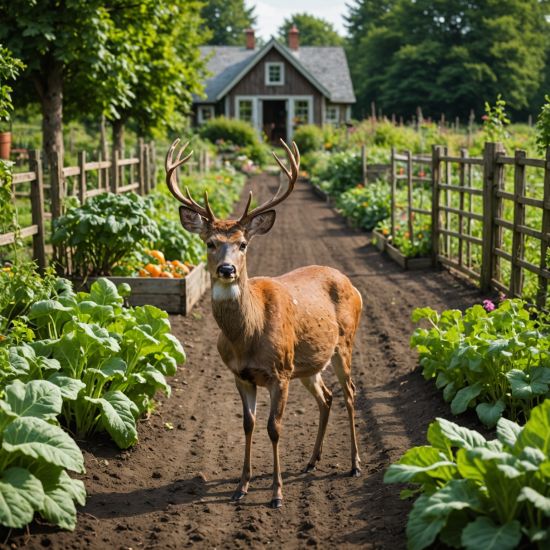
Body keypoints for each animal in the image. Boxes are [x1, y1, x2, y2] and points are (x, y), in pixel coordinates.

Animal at [165, 140, 362, 512]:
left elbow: (274, 428)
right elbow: (248, 424)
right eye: (210, 243)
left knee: (349, 394)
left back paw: (356, 465)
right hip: (309, 363)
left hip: (344, 344)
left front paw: (276, 493)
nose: (227, 269)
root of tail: (351, 284)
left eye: (243, 244)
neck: (247, 338)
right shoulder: (240, 375)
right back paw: (311, 461)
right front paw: (241, 486)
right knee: (326, 397)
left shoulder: (279, 373)